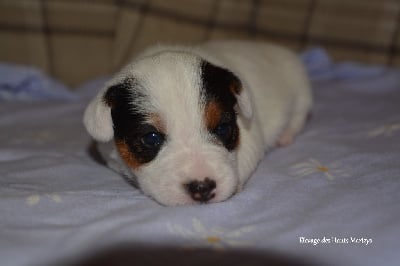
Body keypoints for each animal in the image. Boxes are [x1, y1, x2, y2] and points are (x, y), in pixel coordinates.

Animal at [83, 40, 310, 206]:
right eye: (151, 138)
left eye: (223, 128)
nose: (203, 188)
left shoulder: (250, 134)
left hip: (299, 88)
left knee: (298, 116)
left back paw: (286, 135)